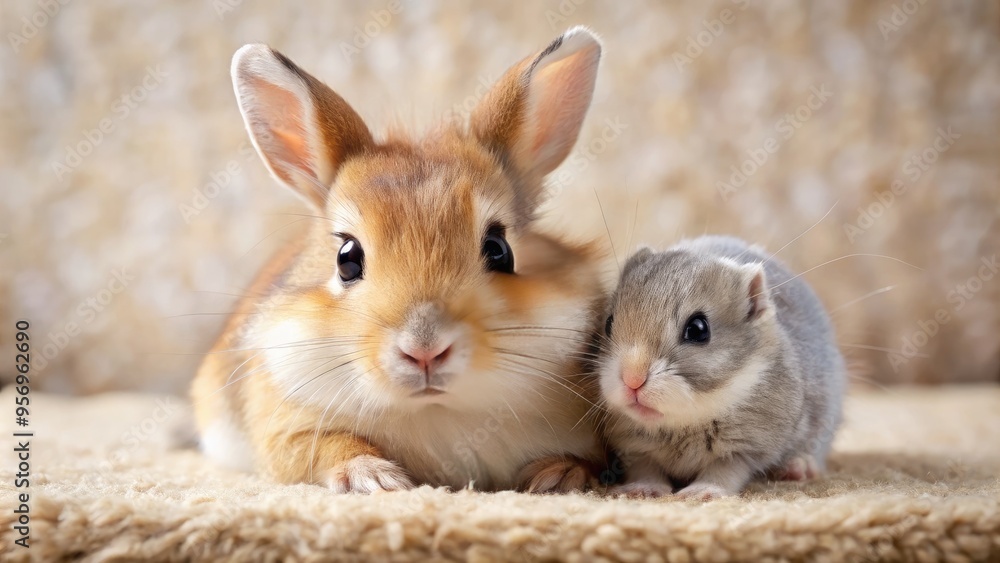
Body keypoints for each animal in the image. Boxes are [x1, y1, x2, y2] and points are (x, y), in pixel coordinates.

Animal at [190, 27, 609, 493]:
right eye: (346, 259)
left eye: (500, 249)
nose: (424, 350)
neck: (434, 408)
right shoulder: (290, 433)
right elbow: (331, 447)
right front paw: (374, 479)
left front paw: (558, 477)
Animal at [596, 235, 845, 500]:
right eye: (608, 323)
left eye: (698, 329)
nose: (632, 381)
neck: (684, 421)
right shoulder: (633, 445)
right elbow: (645, 467)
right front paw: (642, 491)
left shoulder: (743, 449)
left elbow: (723, 471)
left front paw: (700, 494)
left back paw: (798, 468)